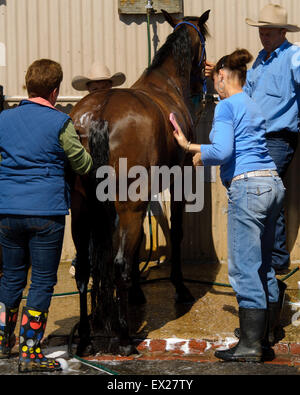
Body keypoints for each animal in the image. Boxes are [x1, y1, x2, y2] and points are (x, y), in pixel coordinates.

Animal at [70, 9, 211, 358]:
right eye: (203, 42)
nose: (201, 81)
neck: (166, 84)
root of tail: (99, 116)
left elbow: (140, 244)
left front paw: (136, 293)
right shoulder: (178, 179)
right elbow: (175, 232)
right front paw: (180, 287)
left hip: (82, 210)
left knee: (85, 269)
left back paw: (86, 338)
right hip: (127, 205)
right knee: (117, 263)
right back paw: (122, 338)